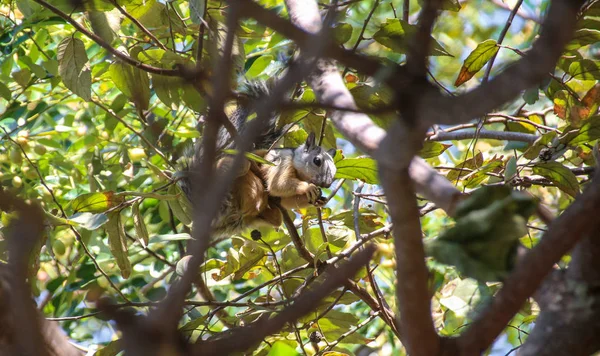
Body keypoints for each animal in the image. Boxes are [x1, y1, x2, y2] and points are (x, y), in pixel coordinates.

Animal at [178, 81, 338, 238]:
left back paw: (272, 212)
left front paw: (319, 200)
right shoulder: (282, 161)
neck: (298, 170)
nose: (327, 184)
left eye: (335, 171)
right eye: (317, 161)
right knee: (237, 169)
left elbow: (285, 200)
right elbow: (278, 184)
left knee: (274, 217)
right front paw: (308, 187)